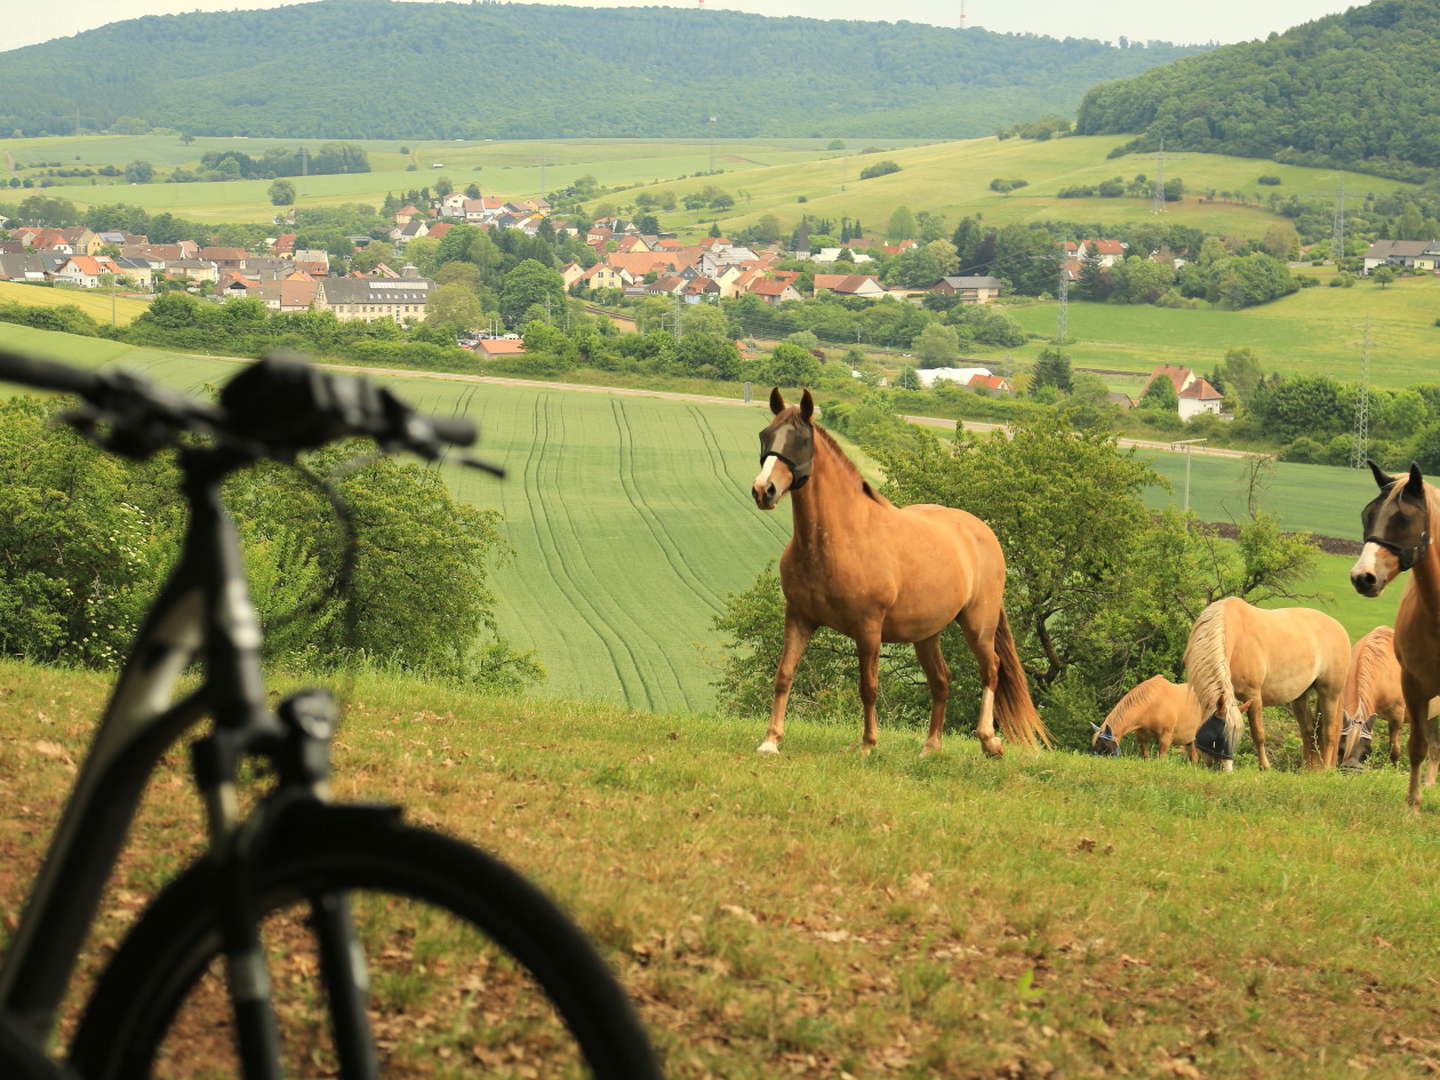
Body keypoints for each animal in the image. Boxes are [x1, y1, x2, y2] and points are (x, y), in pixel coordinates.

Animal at [754, 394, 1048, 754]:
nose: (763, 490)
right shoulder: (799, 618)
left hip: (978, 623)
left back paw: (989, 741)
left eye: (801, 439)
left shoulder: (868, 629)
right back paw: (930, 747)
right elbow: (784, 674)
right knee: (941, 680)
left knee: (991, 669)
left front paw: (868, 744)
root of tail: (981, 530)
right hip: (926, 634)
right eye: (766, 435)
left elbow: (868, 685)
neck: (840, 538)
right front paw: (771, 741)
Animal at [1180, 596, 1347, 771]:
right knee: (1308, 730)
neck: (1238, 637)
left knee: (1329, 731)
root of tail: (1338, 627)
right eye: (1215, 738)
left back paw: (1325, 768)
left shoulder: (1253, 695)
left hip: (1330, 694)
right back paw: (1307, 770)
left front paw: (1265, 767)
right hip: (1300, 697)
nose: (1225, 769)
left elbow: (1258, 733)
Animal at [1347, 460, 1440, 806]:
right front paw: (1413, 805)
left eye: (1403, 518)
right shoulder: (1414, 689)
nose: (1363, 577)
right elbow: (1416, 749)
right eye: (1367, 514)